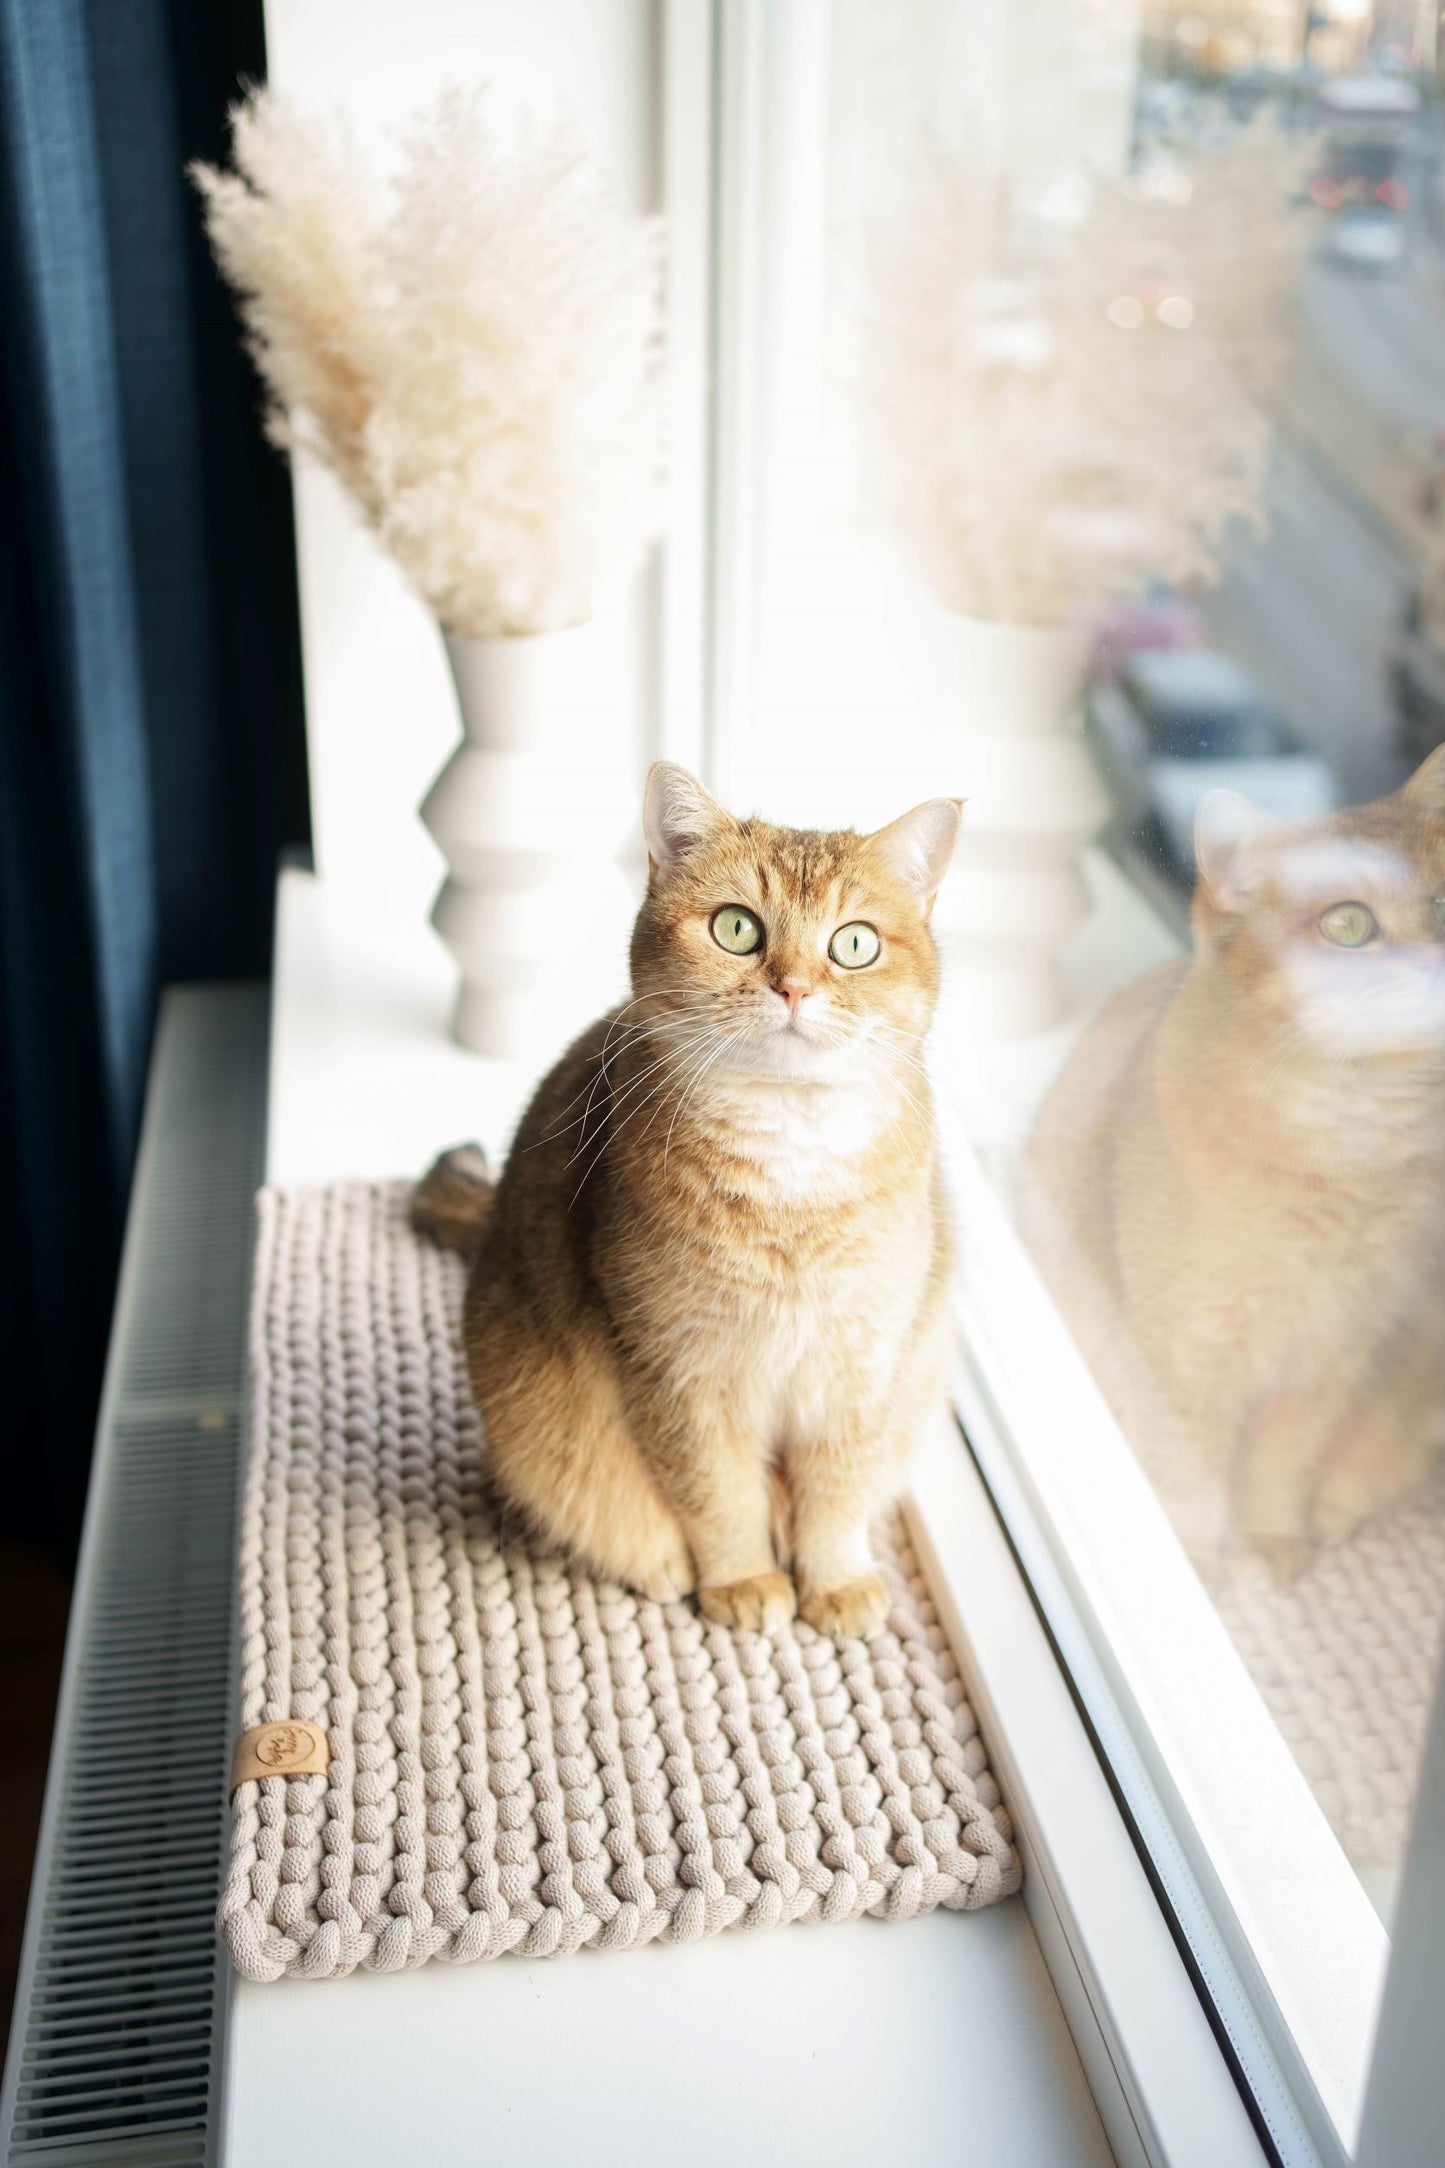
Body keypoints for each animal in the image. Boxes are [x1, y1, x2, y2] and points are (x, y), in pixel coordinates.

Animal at [415, 771, 961, 1630]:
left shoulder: (863, 1366)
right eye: (736, 929)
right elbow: (718, 1496)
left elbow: (838, 1491)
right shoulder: (680, 1373)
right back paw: (664, 1567)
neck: (790, 1168)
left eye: (854, 944)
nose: (793, 987)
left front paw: (833, 1581)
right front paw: (743, 1578)